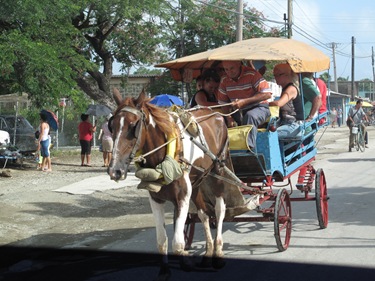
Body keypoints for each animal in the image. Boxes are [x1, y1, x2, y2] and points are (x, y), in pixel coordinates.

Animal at [108, 90, 231, 276]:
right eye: (112, 126)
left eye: (133, 125)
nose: (115, 170)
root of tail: (216, 114)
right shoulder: (156, 199)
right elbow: (162, 240)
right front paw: (165, 271)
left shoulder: (182, 198)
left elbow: (178, 243)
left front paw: (186, 260)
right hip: (196, 182)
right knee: (203, 214)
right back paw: (208, 252)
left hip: (217, 172)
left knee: (219, 210)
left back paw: (218, 252)